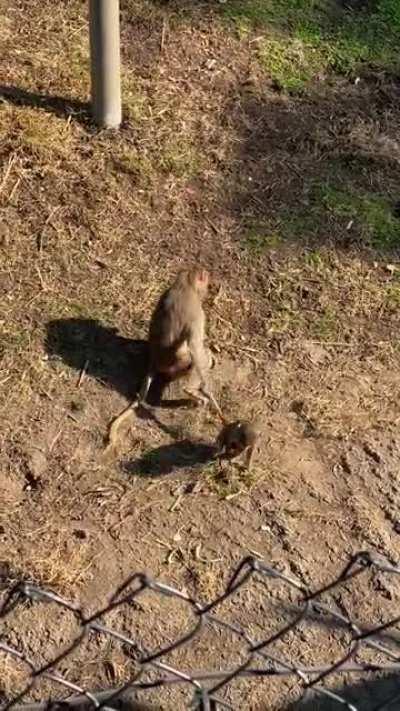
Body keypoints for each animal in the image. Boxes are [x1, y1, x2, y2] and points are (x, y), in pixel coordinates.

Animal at [104, 268, 223, 450]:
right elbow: (196, 348)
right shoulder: (197, 314)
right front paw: (209, 393)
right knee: (197, 359)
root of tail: (154, 362)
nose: (208, 288)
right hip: (178, 366)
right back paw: (192, 390)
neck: (185, 285)